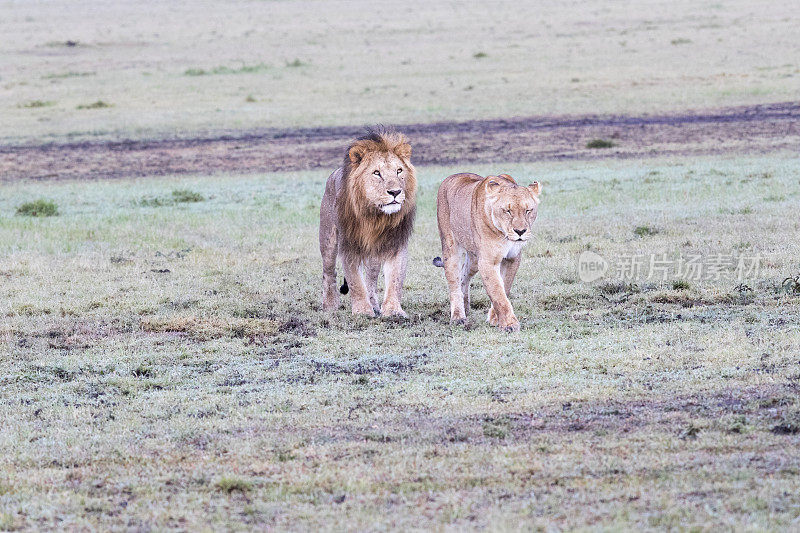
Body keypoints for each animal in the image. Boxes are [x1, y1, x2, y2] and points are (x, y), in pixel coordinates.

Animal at [318, 127, 418, 316]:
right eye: (377, 173)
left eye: (399, 171)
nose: (395, 192)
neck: (375, 217)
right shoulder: (348, 246)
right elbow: (355, 282)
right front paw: (363, 311)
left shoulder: (395, 243)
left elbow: (395, 280)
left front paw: (393, 311)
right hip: (328, 239)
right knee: (329, 273)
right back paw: (330, 305)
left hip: (374, 253)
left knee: (371, 279)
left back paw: (373, 304)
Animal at [434, 172, 540, 330]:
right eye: (507, 211)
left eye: (528, 210)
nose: (520, 231)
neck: (504, 235)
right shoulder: (488, 261)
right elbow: (497, 292)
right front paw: (509, 324)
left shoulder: (512, 258)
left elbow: (504, 288)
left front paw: (495, 318)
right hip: (450, 248)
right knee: (454, 283)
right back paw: (458, 316)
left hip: (474, 259)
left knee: (464, 275)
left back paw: (466, 306)